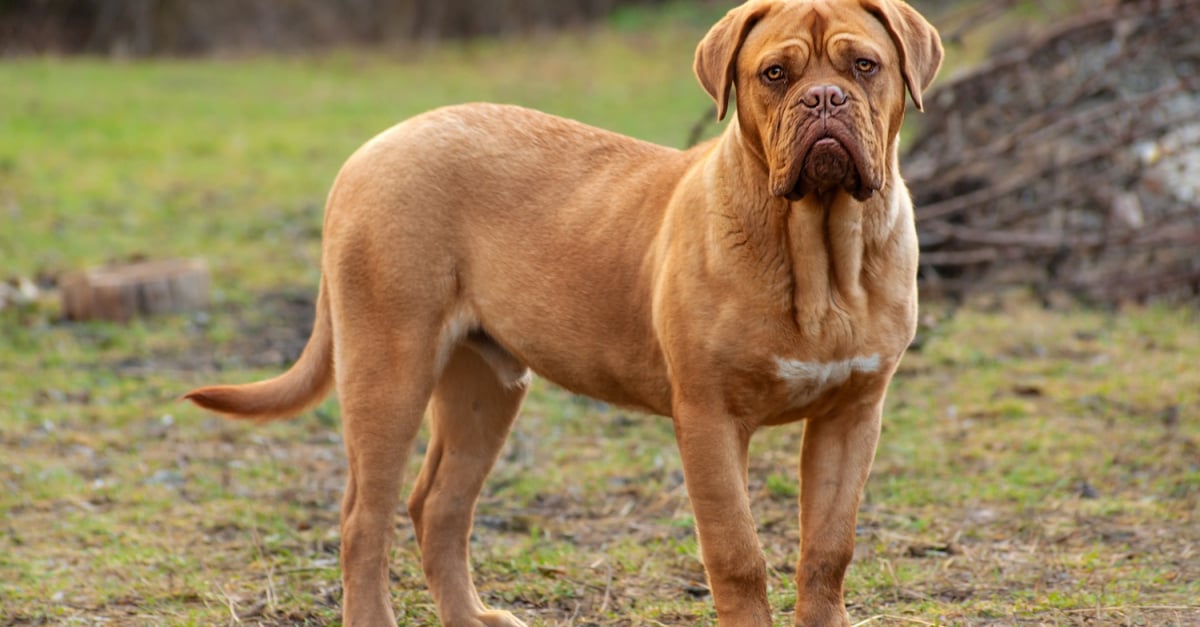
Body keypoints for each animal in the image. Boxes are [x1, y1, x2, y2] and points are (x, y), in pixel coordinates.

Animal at [187, 2, 940, 619]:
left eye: (864, 65)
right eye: (775, 74)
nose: (824, 97)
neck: (820, 254)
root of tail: (371, 149)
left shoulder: (853, 414)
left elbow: (827, 553)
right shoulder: (710, 417)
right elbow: (737, 556)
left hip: (484, 386)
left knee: (438, 505)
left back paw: (472, 617)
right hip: (387, 370)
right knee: (363, 520)